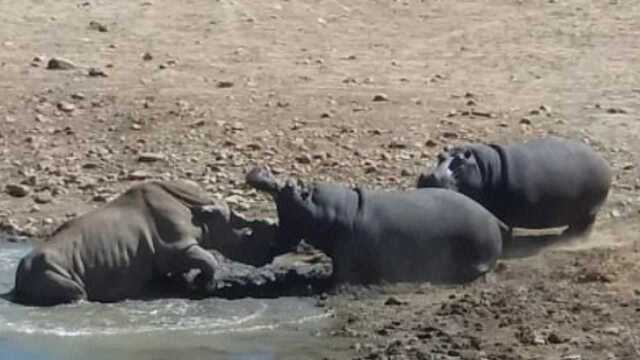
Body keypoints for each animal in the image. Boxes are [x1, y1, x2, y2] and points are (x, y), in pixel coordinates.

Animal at [10, 180, 276, 306]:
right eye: (245, 232)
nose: (267, 256)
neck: (201, 212)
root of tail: (19, 275)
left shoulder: (169, 253)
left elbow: (179, 271)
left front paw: (185, 287)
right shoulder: (178, 247)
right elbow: (208, 259)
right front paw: (204, 286)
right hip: (46, 267)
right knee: (76, 290)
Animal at [244, 167, 504, 286]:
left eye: (296, 187)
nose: (260, 171)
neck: (342, 211)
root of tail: (493, 219)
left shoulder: (344, 255)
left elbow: (340, 275)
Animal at [418, 136, 612, 236]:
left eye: (460, 162)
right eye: (440, 156)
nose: (428, 178)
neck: (484, 167)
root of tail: (602, 161)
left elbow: (505, 226)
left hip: (591, 208)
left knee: (586, 223)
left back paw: (572, 236)